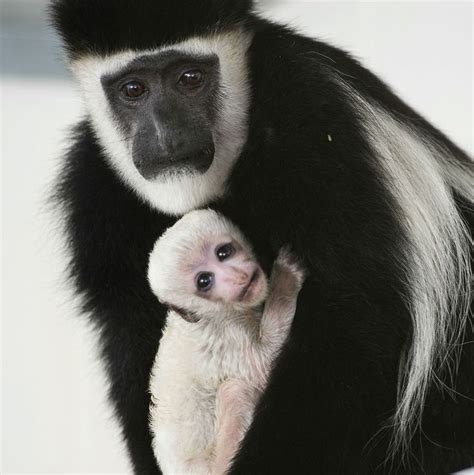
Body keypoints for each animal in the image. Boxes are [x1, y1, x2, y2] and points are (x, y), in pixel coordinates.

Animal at [146, 210, 306, 474]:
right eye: (204, 281)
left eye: (223, 252)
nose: (239, 276)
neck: (213, 314)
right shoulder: (227, 335)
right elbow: (260, 366)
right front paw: (286, 277)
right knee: (234, 390)